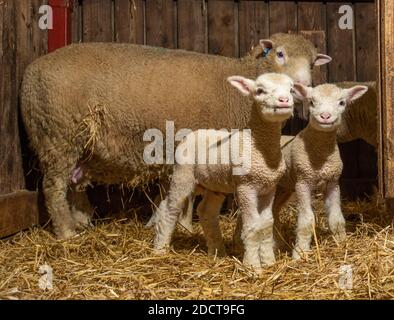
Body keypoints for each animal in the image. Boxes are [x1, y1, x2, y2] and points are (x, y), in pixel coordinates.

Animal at [20, 33, 330, 239]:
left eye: (313, 62)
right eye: (280, 54)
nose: (302, 85)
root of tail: (30, 71)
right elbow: (189, 192)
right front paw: (183, 226)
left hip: (77, 142)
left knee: (74, 183)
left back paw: (82, 221)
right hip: (58, 134)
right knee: (54, 187)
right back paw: (66, 232)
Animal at [152, 72, 298, 270]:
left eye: (291, 89)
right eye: (259, 90)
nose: (284, 100)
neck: (260, 147)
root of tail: (192, 134)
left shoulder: (269, 187)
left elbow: (267, 224)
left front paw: (269, 262)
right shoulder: (246, 186)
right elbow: (253, 225)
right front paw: (253, 266)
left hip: (215, 185)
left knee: (206, 212)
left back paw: (217, 252)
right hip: (183, 175)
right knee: (170, 208)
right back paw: (160, 249)